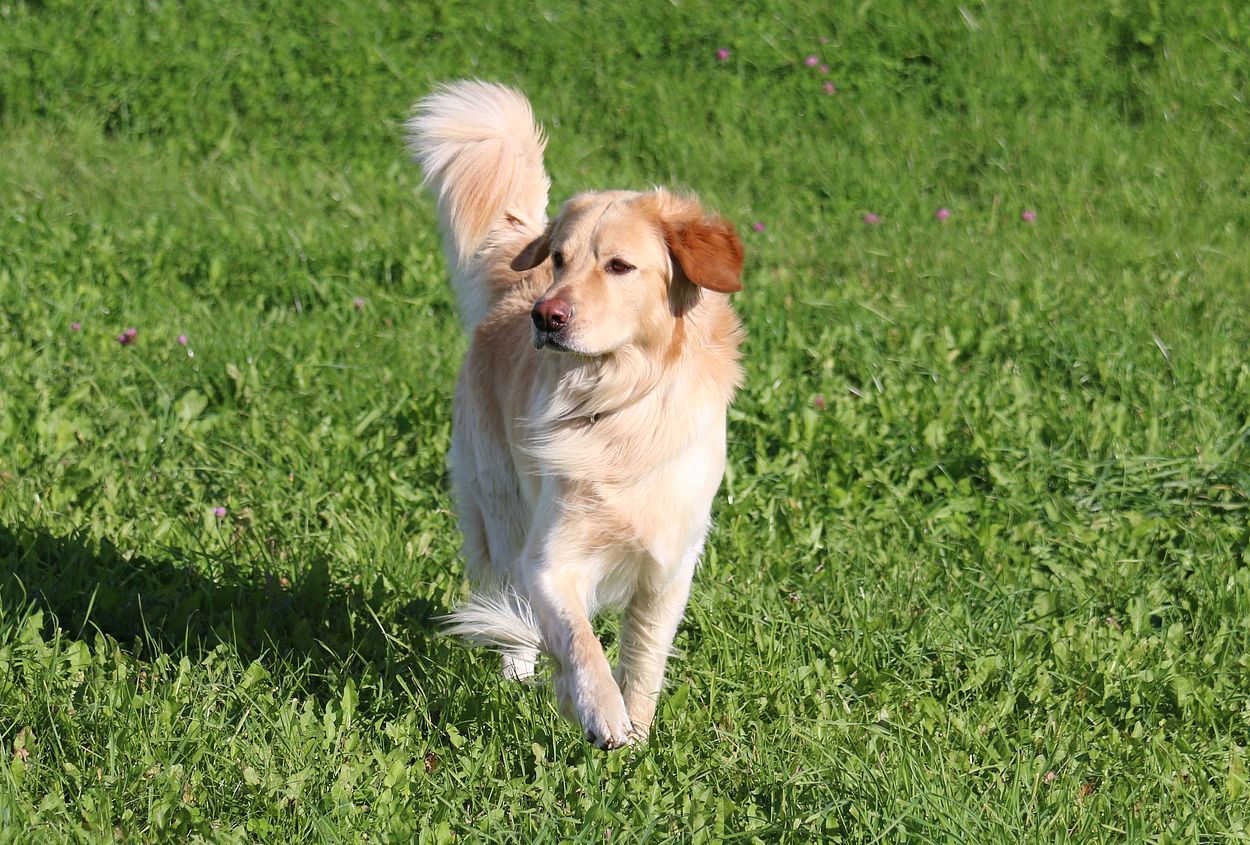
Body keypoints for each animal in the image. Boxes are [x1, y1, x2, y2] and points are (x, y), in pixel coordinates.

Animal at [407, 81, 744, 748]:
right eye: (561, 259)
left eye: (619, 266)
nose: (546, 316)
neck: (617, 406)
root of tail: (515, 290)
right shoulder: (550, 557)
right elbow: (579, 639)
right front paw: (600, 711)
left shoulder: (669, 568)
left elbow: (643, 657)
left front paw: (636, 729)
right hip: (502, 507)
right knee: (512, 599)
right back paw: (516, 673)